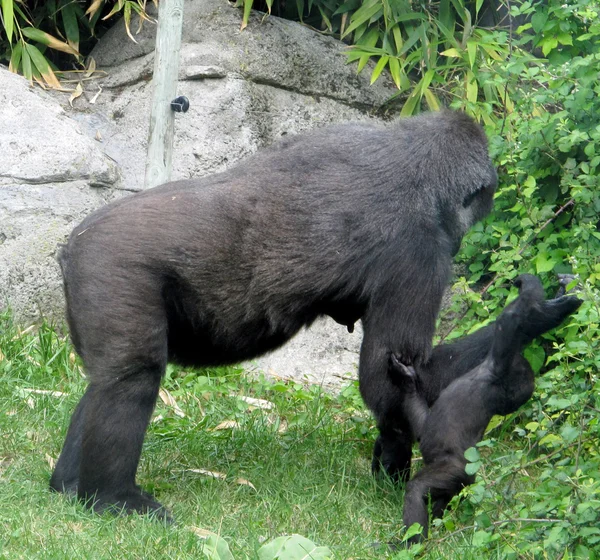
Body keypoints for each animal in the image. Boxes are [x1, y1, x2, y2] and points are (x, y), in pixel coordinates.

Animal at [50, 110, 496, 520]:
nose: (463, 242)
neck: (413, 160)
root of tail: (72, 245)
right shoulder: (420, 252)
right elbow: (389, 380)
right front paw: (401, 465)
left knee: (108, 378)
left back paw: (70, 485)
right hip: (110, 266)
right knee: (132, 379)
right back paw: (113, 498)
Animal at [390, 274, 580, 544]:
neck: (491, 381)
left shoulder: (496, 365)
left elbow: (508, 322)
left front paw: (528, 284)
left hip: (455, 471)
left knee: (417, 491)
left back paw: (411, 544)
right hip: (459, 485)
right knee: (441, 500)